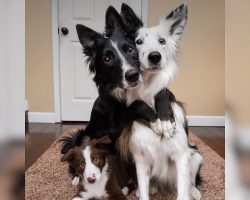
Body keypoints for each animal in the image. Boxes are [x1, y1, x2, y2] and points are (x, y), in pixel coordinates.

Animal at [117, 3, 203, 200]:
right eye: (138, 42)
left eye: (162, 41)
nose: (154, 56)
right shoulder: (140, 159)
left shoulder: (181, 155)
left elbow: (182, 191)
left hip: (195, 155)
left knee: (190, 180)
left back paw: (194, 190)